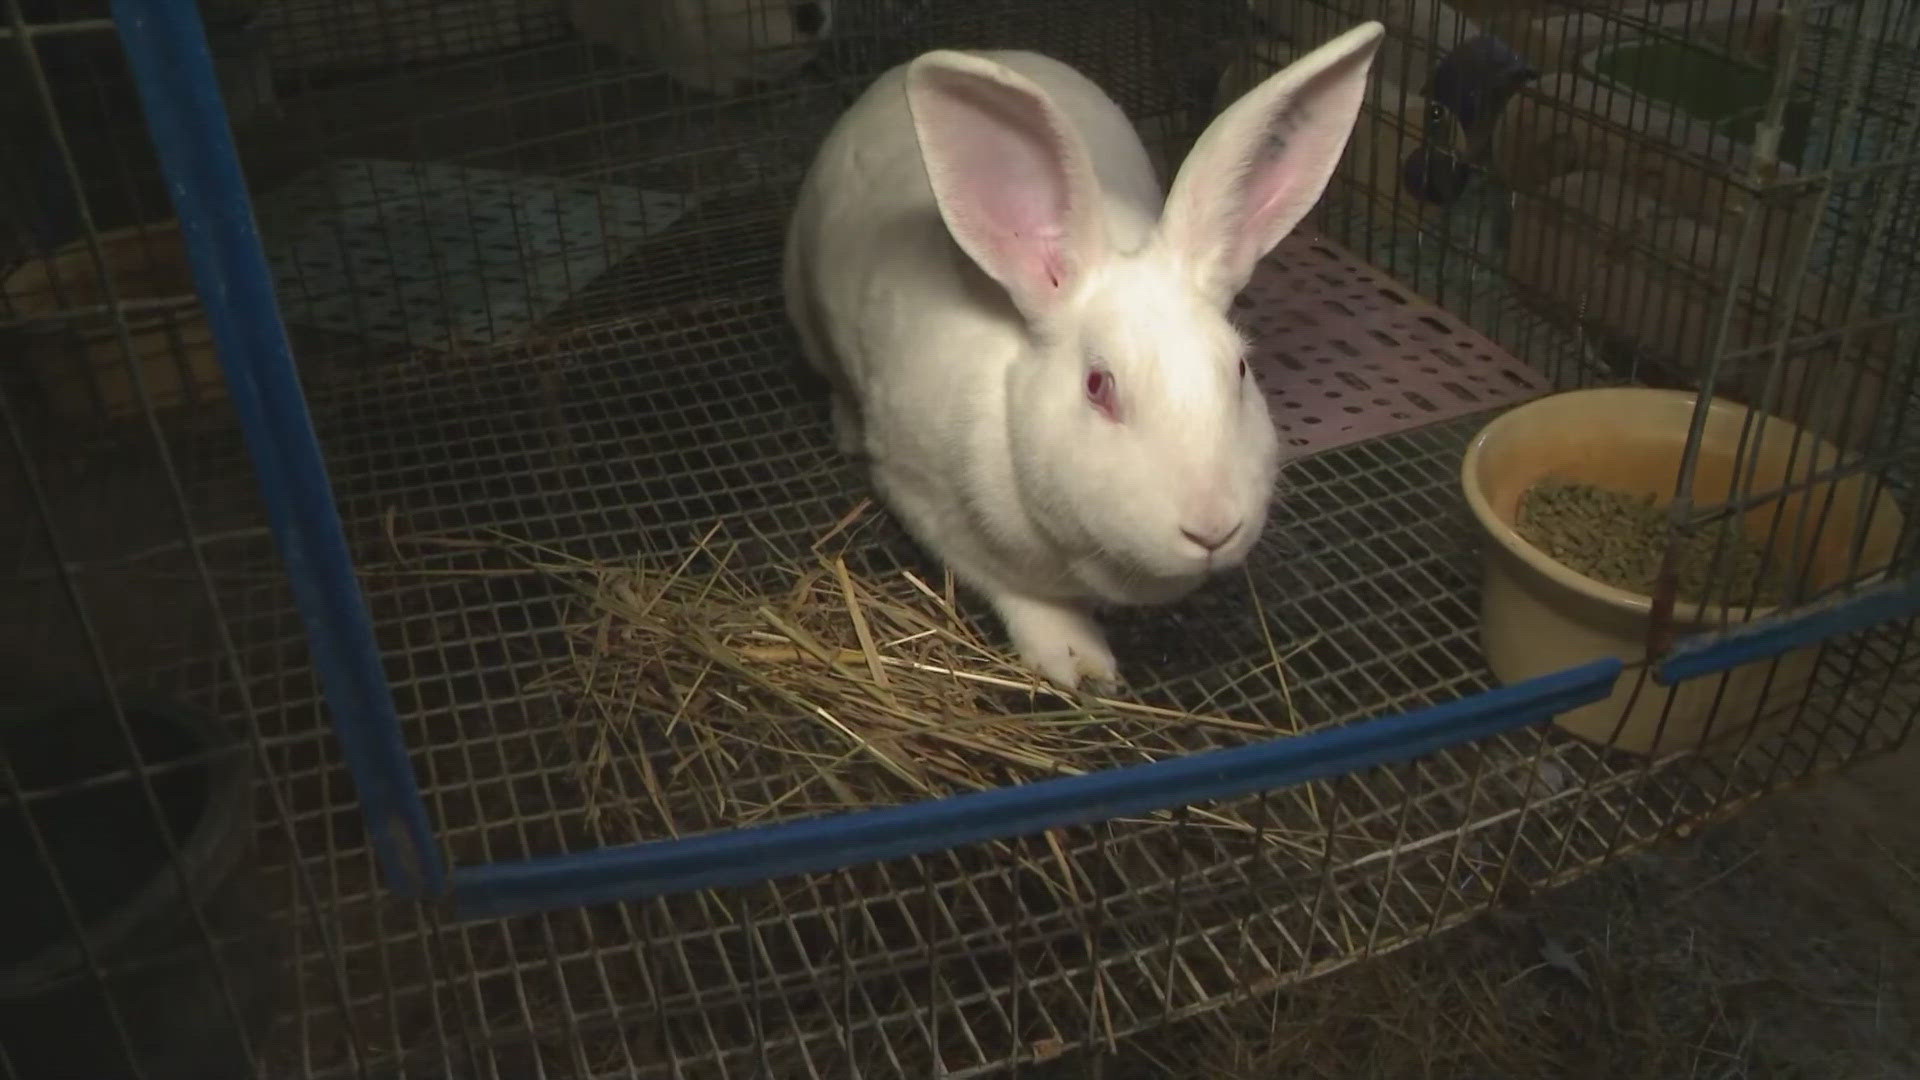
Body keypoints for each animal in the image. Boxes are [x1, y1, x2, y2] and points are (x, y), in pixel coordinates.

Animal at [787, 21, 1390, 687]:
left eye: (1239, 371)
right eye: (1098, 386)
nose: (1212, 528)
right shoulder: (924, 499)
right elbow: (1020, 596)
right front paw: (1082, 667)